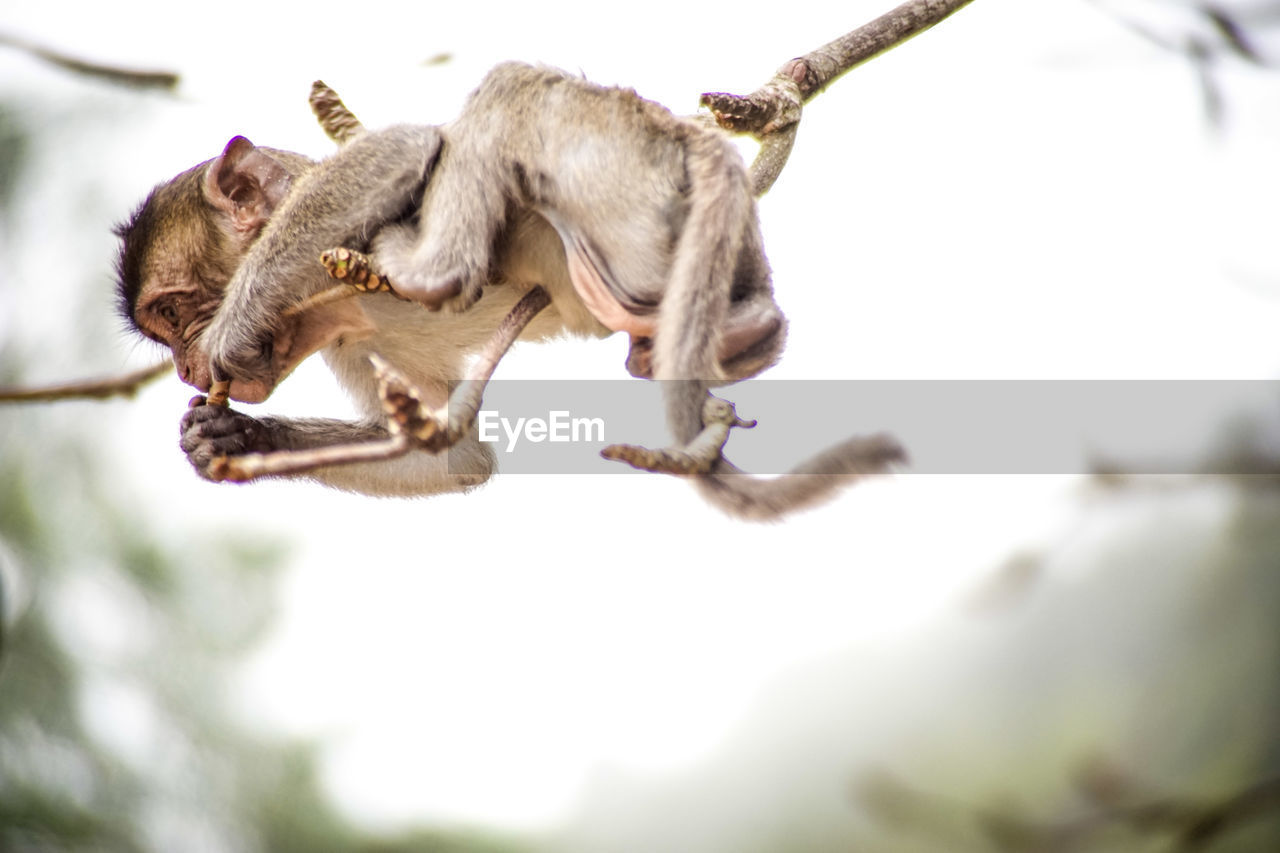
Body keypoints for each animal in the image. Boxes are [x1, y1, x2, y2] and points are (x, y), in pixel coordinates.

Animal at [117, 63, 901, 514]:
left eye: (178, 312)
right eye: (163, 334)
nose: (187, 367)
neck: (332, 298)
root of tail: (681, 135)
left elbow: (403, 150)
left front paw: (233, 331)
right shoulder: (343, 338)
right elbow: (454, 451)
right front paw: (231, 435)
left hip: (614, 156)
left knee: (510, 91)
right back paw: (739, 331)